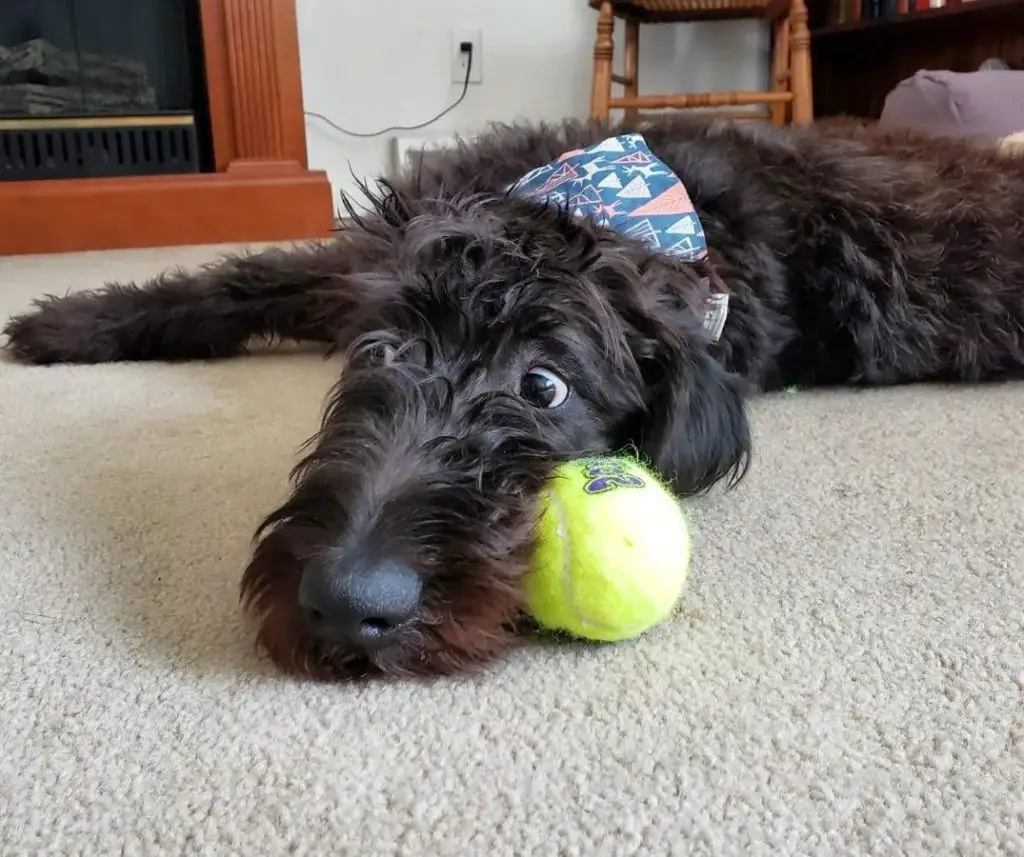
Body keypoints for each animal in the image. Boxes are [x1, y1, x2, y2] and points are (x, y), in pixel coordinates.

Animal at [6, 113, 1024, 679]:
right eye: (379, 348)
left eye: (544, 384)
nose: (347, 604)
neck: (597, 204)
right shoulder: (359, 259)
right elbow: (239, 279)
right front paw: (70, 322)